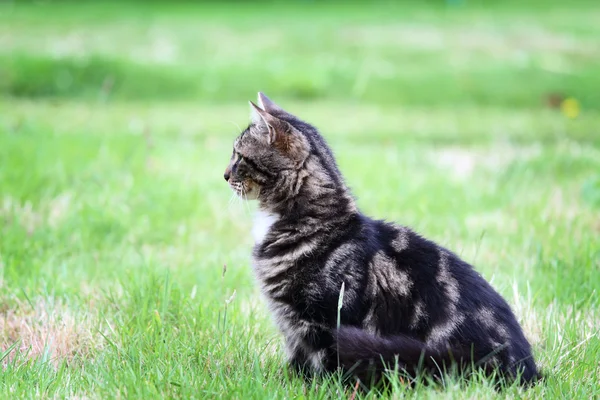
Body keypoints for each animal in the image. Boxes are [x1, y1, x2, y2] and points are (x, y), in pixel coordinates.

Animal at [224, 92, 540, 386]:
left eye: (238, 156)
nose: (225, 175)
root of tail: (529, 372)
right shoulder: (292, 327)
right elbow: (296, 363)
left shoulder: (326, 319)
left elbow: (327, 365)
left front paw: (324, 389)